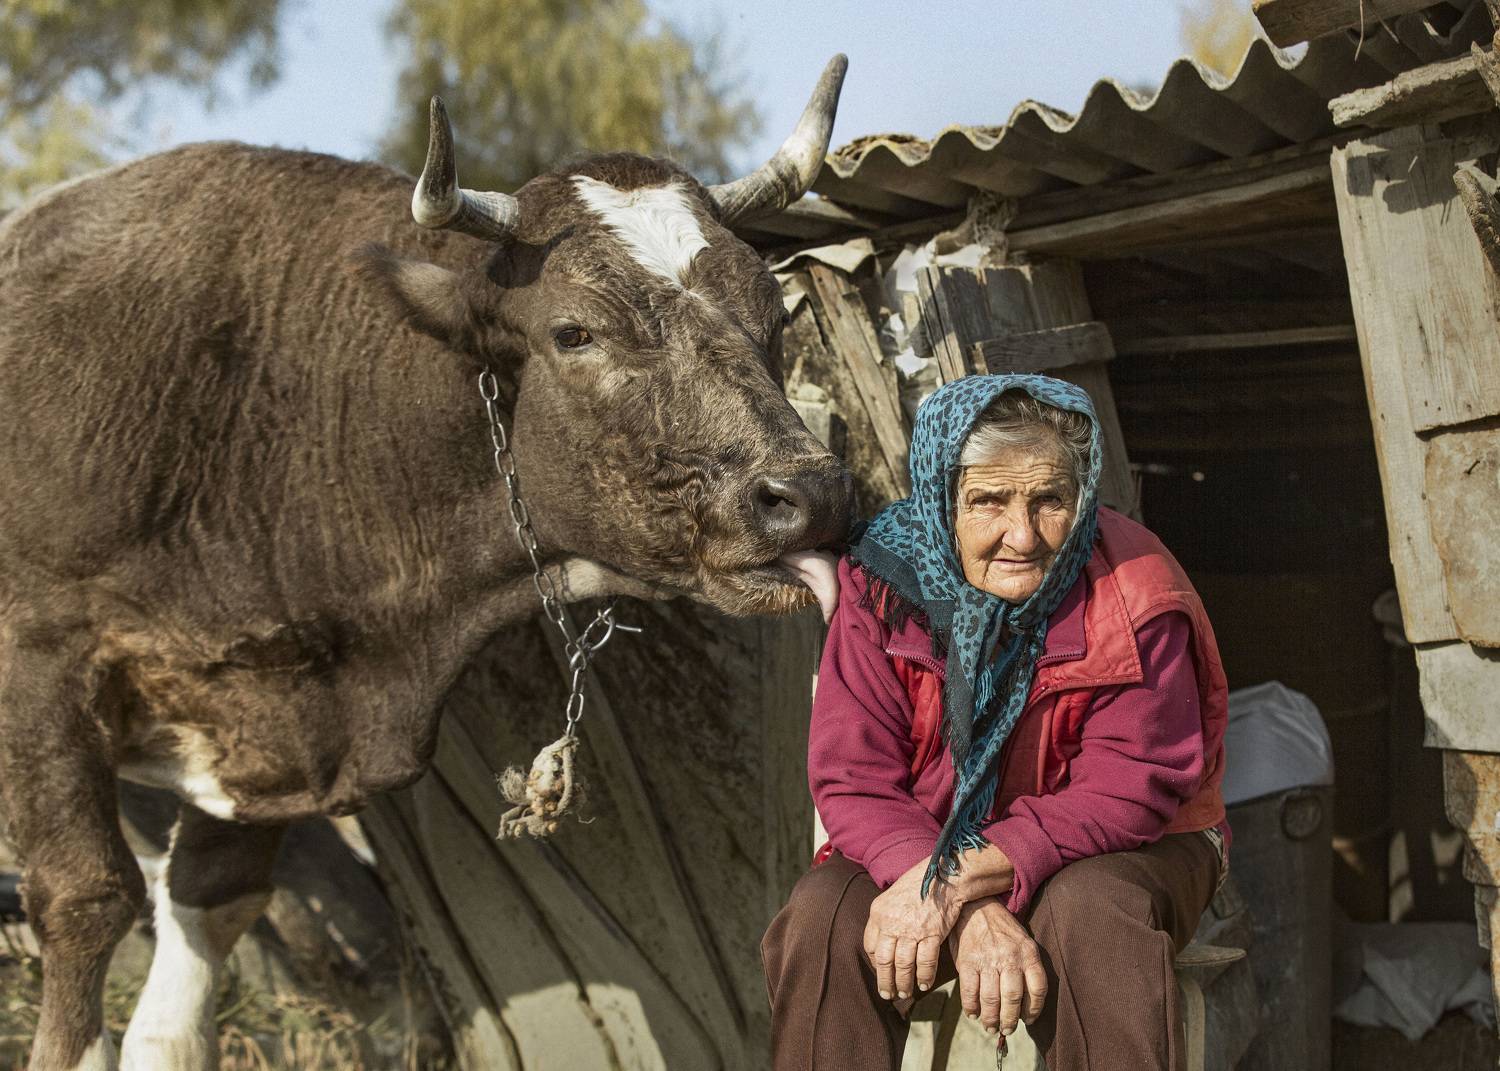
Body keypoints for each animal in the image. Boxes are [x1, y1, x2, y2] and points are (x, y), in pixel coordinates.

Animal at [0, 56, 854, 1070]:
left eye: (774, 313)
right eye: (575, 331)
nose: (810, 490)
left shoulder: (254, 736)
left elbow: (198, 933)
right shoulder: (40, 669)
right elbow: (86, 900)